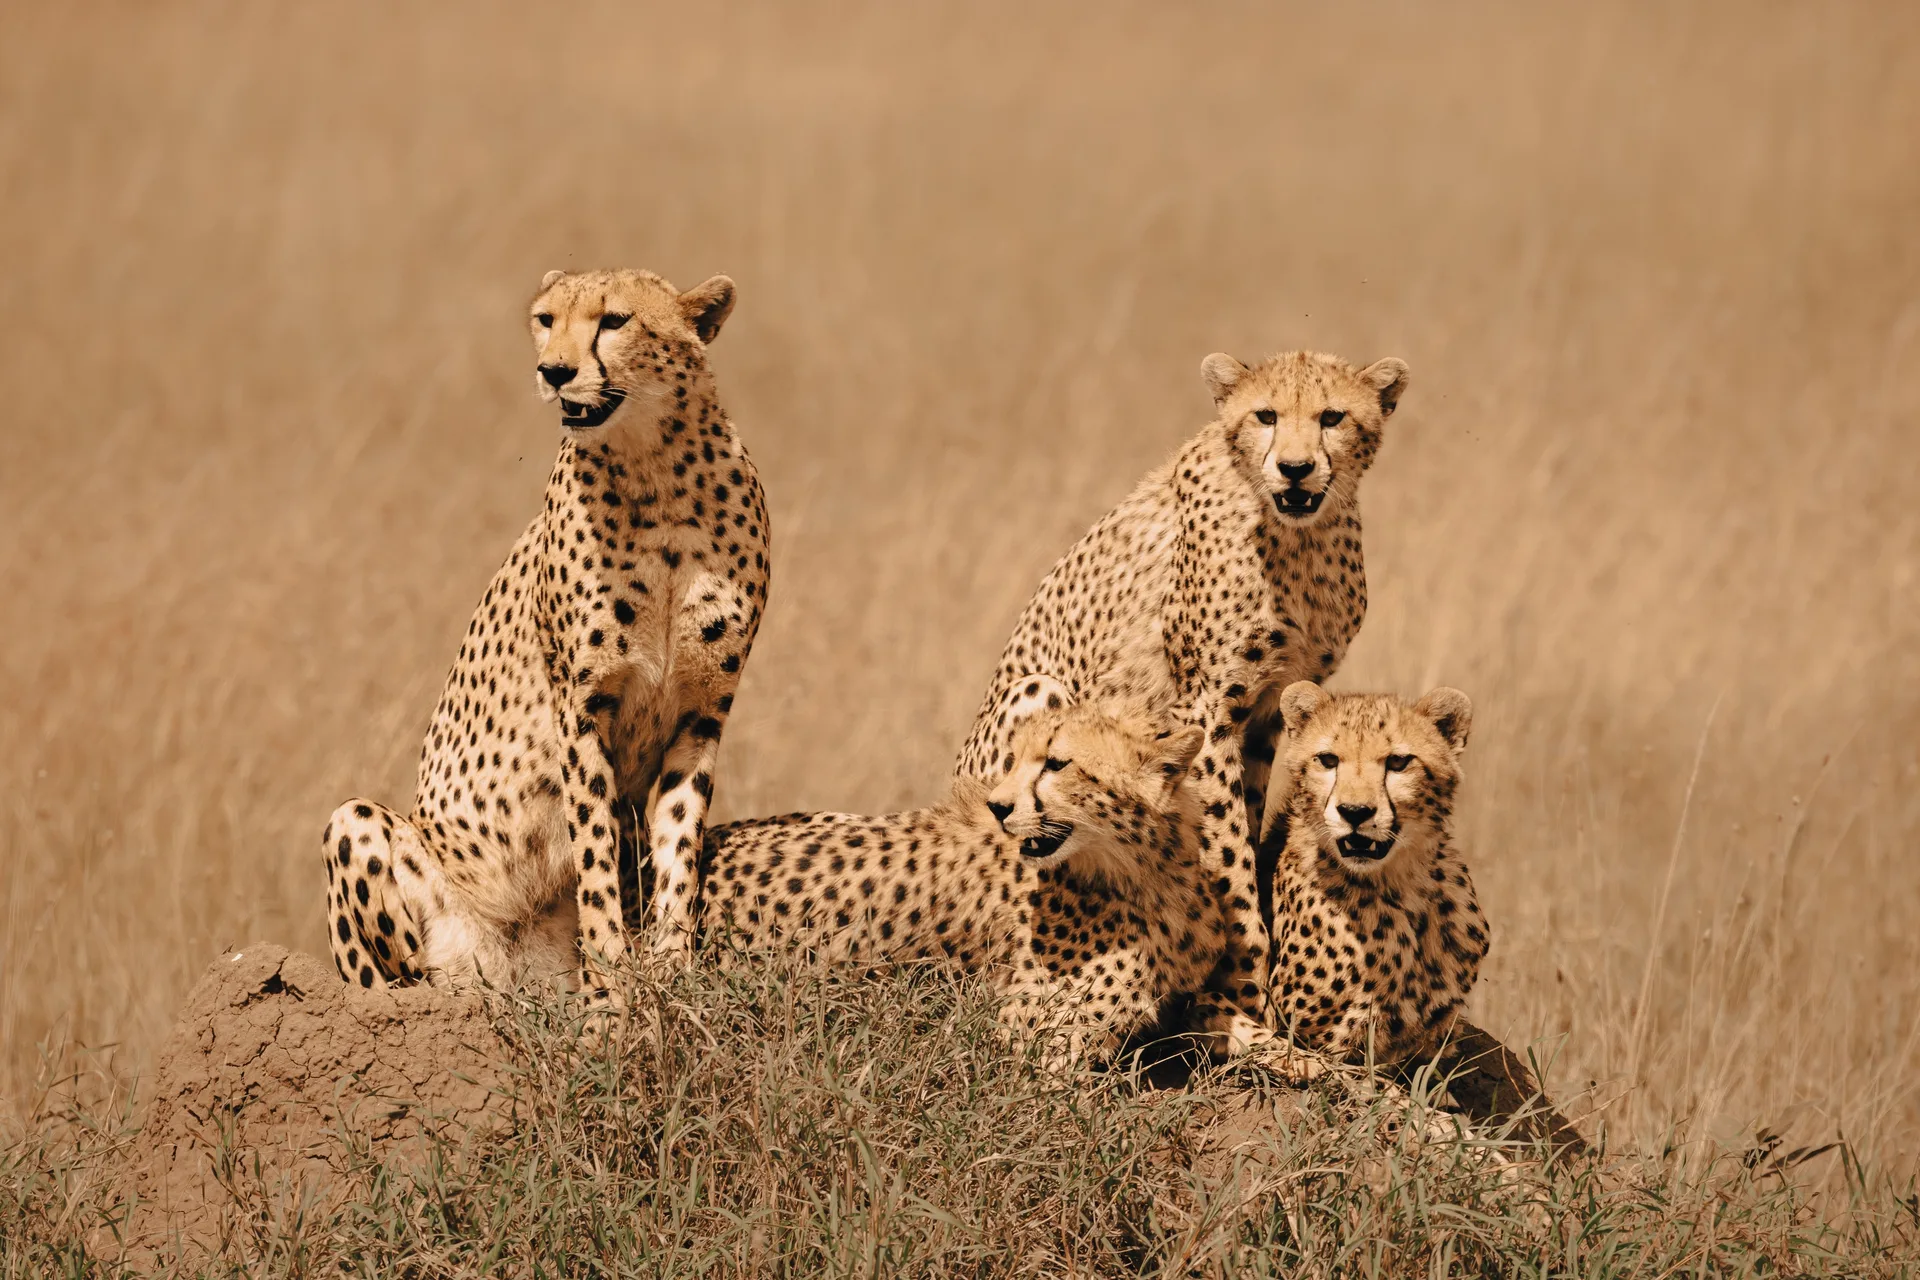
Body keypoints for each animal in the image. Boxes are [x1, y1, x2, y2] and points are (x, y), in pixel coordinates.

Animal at [323, 267, 768, 1003]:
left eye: (614, 321)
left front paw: (670, 969)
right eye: (544, 319)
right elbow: (594, 848)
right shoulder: (580, 707)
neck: (656, 469)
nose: (553, 371)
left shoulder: (703, 710)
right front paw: (612, 985)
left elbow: (677, 843)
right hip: (364, 838)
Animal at [954, 349, 1410, 1052]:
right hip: (1038, 696)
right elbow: (1228, 858)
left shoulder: (1266, 714)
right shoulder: (1207, 710)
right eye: (1265, 416)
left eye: (1332, 417)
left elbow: (1245, 826)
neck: (1296, 534)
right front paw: (1243, 993)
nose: (1296, 467)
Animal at [1261, 681, 1488, 1073]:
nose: (1355, 812)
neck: (1399, 885)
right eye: (1328, 759)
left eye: (1398, 762)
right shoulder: (1317, 1035)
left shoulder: (1430, 1039)